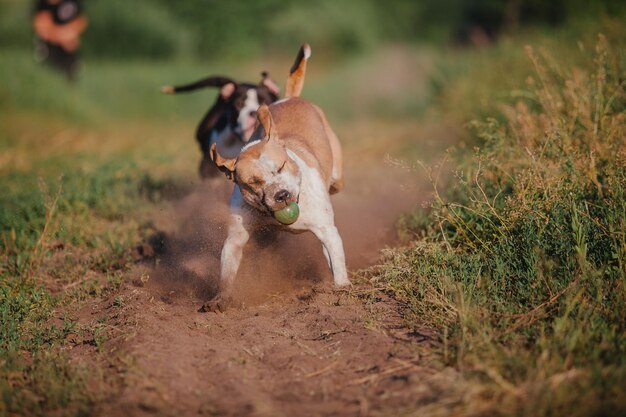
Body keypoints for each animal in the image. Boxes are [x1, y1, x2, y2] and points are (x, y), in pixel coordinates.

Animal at [208, 44, 346, 306]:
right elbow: (228, 266)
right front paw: (220, 299)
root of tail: (291, 97)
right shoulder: (236, 236)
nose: (281, 195)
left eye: (280, 167)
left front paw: (343, 292)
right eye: (253, 183)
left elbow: (338, 262)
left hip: (337, 174)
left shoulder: (327, 231)